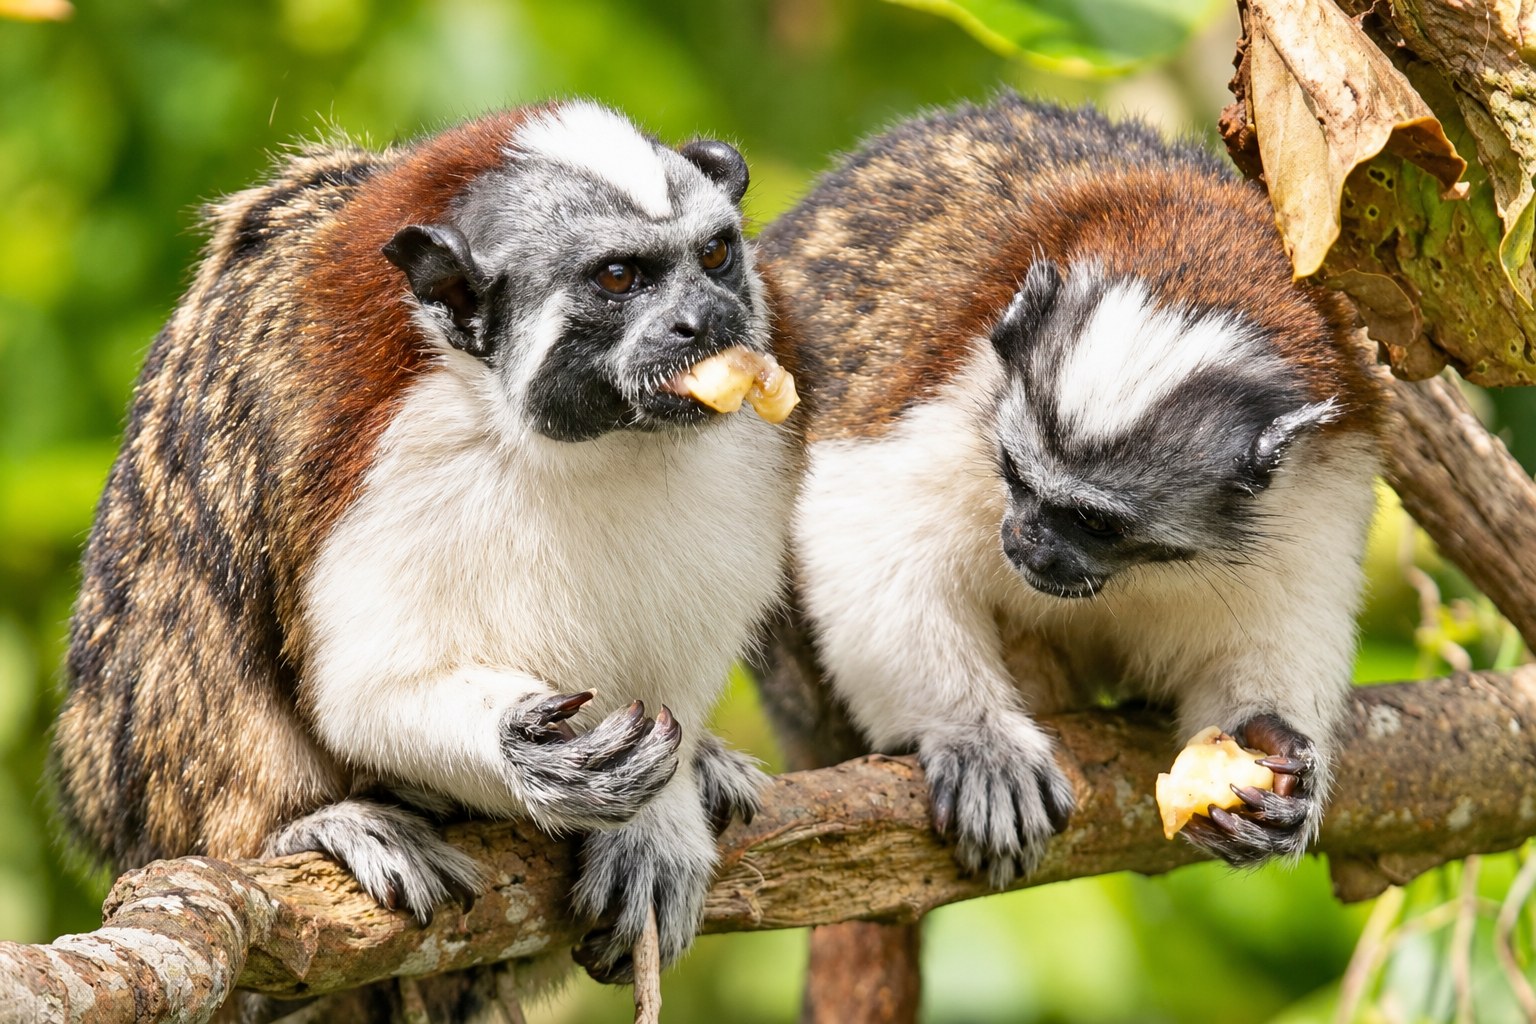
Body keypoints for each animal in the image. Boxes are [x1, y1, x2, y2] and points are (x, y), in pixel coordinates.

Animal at [50, 100, 797, 980]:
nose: (706, 319)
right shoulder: (390, 459)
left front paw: (662, 819)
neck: (599, 445)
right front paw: (517, 752)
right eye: (619, 278)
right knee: (189, 599)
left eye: (714, 256)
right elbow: (364, 695)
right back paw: (302, 824)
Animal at [755, 94, 1384, 887]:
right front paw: (974, 736)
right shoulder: (949, 382)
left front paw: (1275, 750)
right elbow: (862, 533)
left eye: (1096, 523)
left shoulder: (1320, 481)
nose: (1030, 543)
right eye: (1016, 476)